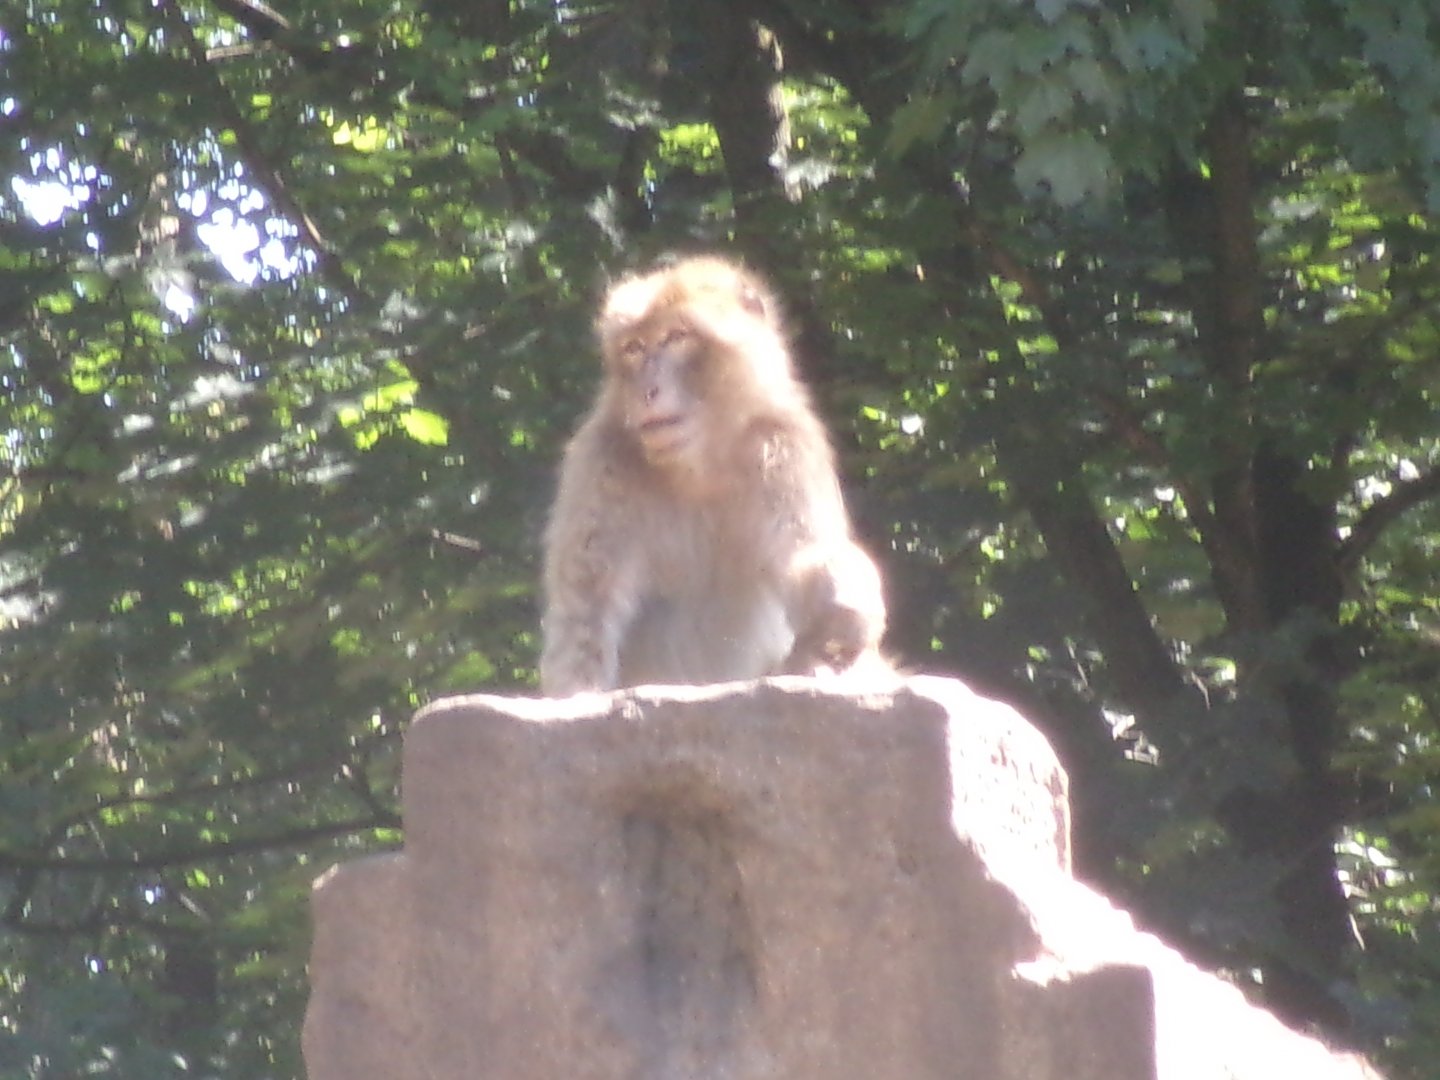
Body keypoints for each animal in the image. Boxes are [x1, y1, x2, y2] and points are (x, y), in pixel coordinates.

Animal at [538, 254, 888, 695]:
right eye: (634, 348)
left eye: (676, 337)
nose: (647, 390)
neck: (698, 468)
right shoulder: (600, 461)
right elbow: (585, 609)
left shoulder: (783, 445)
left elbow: (804, 558)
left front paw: (842, 598)